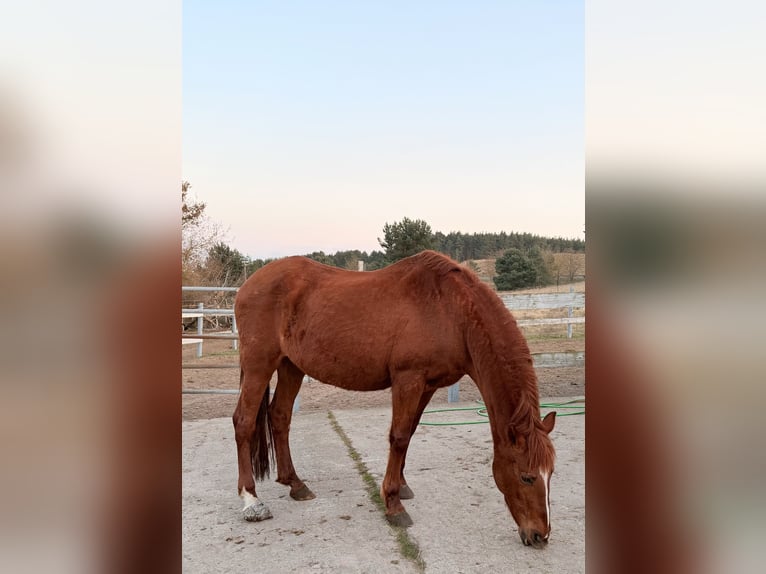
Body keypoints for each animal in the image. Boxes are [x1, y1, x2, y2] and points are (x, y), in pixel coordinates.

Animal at [232, 250, 556, 548]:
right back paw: (251, 500)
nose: (540, 535)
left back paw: (295, 484)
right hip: (260, 364)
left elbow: (409, 433)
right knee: (244, 422)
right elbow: (398, 437)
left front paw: (401, 487)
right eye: (527, 476)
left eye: (551, 473)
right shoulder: (408, 379)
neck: (450, 310)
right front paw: (393, 504)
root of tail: (249, 284)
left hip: (291, 366)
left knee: (279, 416)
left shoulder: (427, 386)